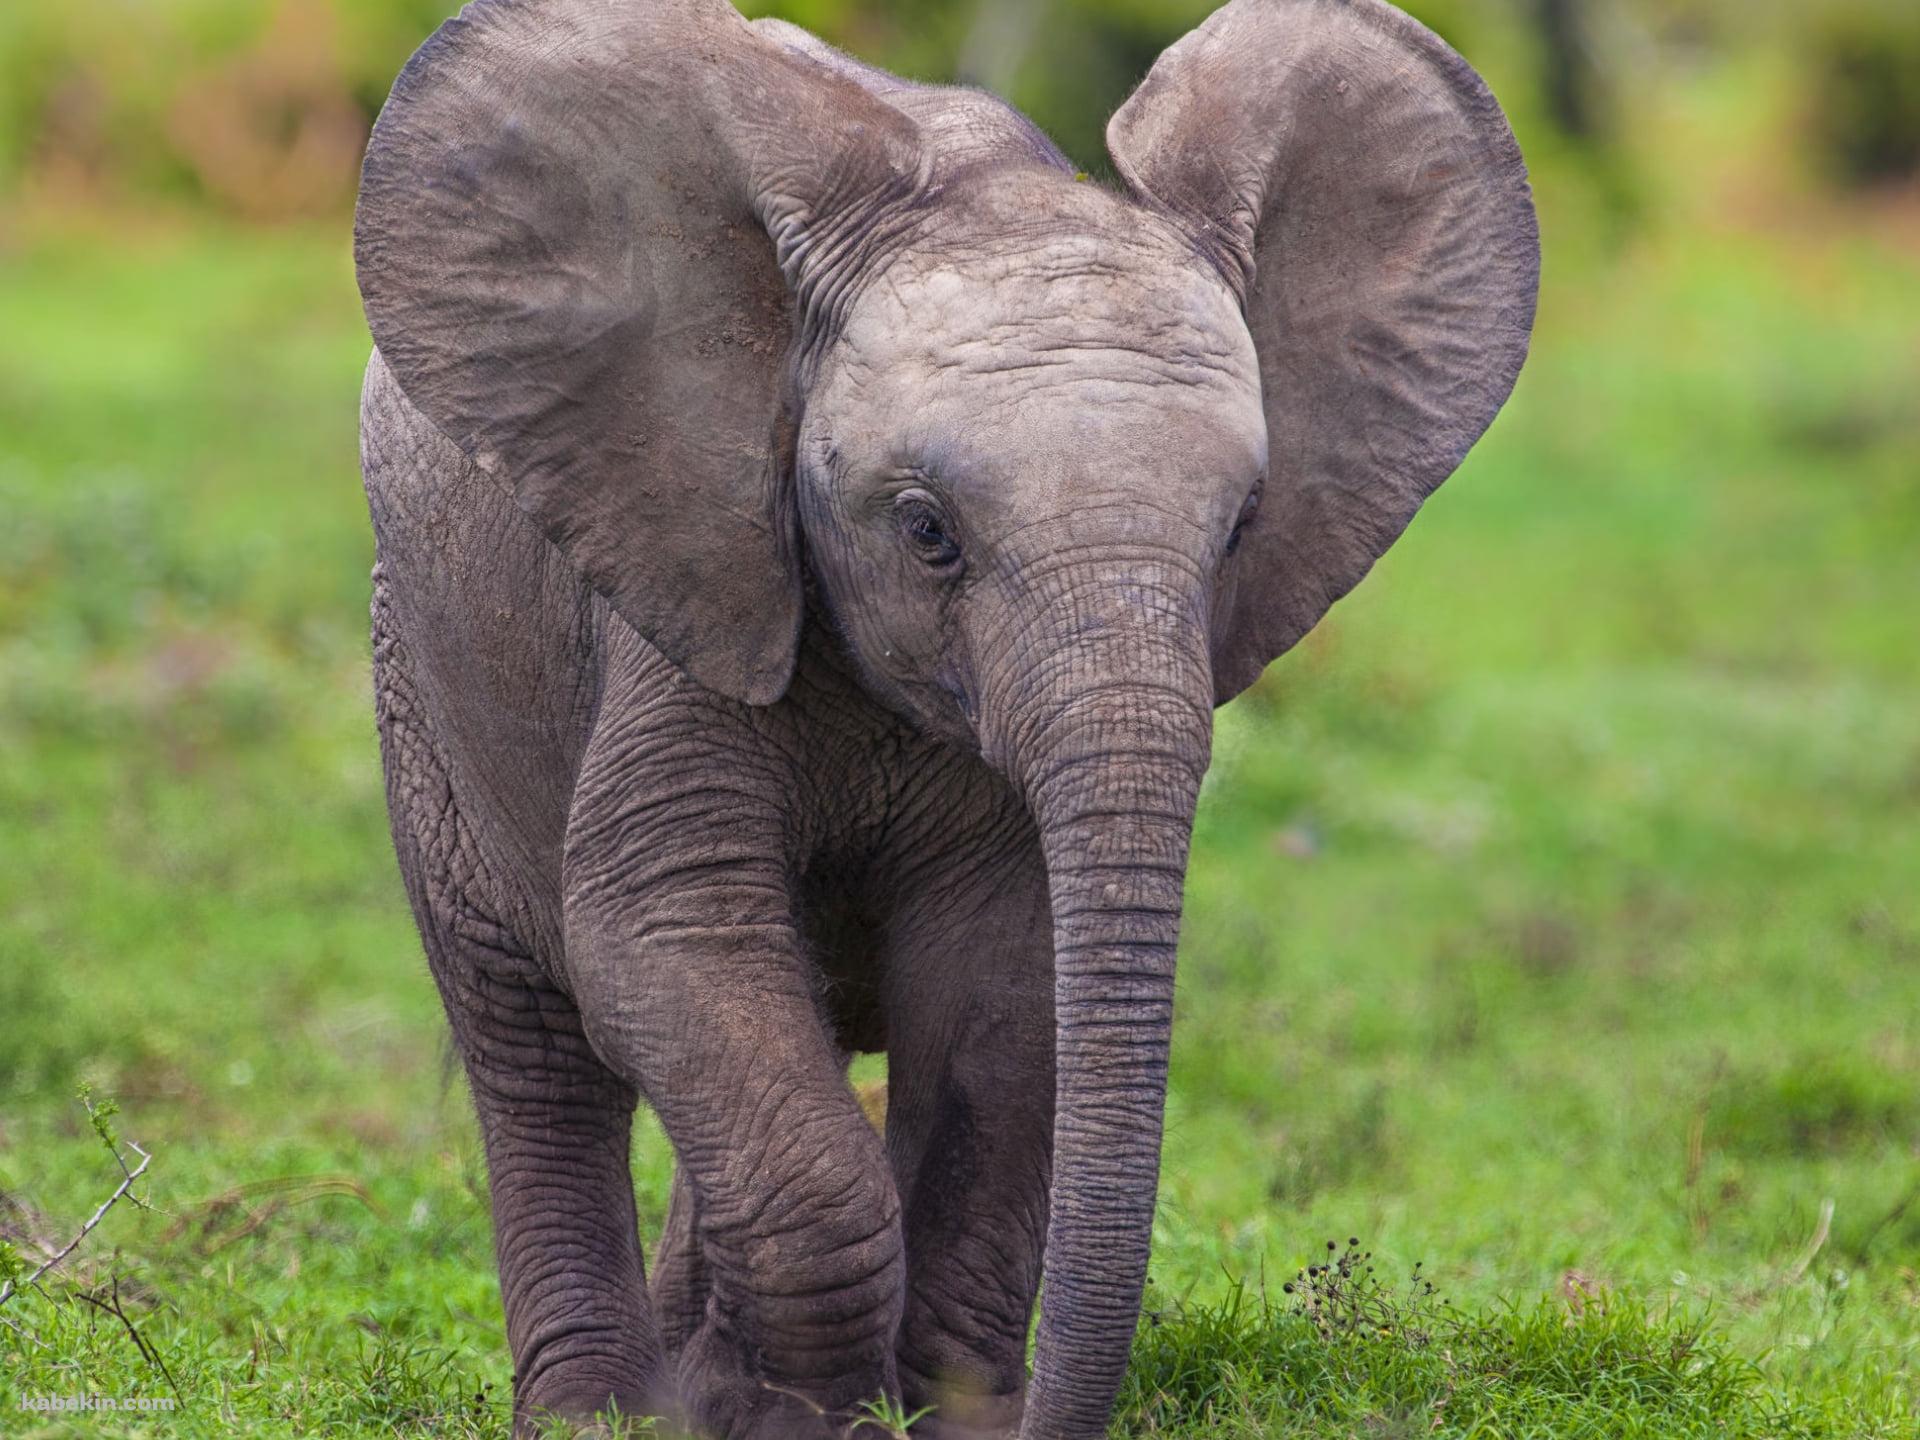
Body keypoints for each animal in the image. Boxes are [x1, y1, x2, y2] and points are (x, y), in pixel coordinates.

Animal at [352, 0, 1538, 1435]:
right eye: (928, 533)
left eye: (1241, 529)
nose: (1026, 1413)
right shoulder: (685, 595)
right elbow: (663, 933)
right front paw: (797, 1420)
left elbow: (1001, 993)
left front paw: (918, 1414)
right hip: (422, 666)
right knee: (528, 1040)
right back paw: (604, 1413)